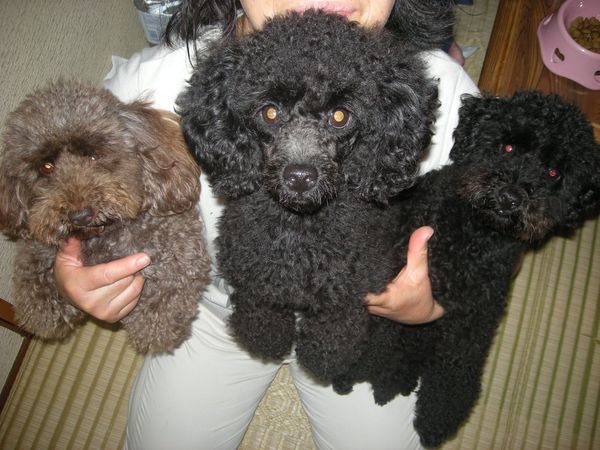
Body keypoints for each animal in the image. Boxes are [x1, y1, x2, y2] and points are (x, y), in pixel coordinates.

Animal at [0, 80, 211, 353]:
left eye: (94, 155)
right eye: (46, 166)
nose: (79, 215)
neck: (105, 235)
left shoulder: (179, 249)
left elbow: (168, 294)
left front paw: (154, 330)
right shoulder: (38, 248)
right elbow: (32, 272)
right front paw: (42, 311)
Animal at [342, 91, 600, 447]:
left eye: (552, 173)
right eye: (508, 147)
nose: (510, 196)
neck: (475, 237)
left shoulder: (477, 316)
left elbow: (456, 371)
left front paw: (435, 419)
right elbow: (386, 339)